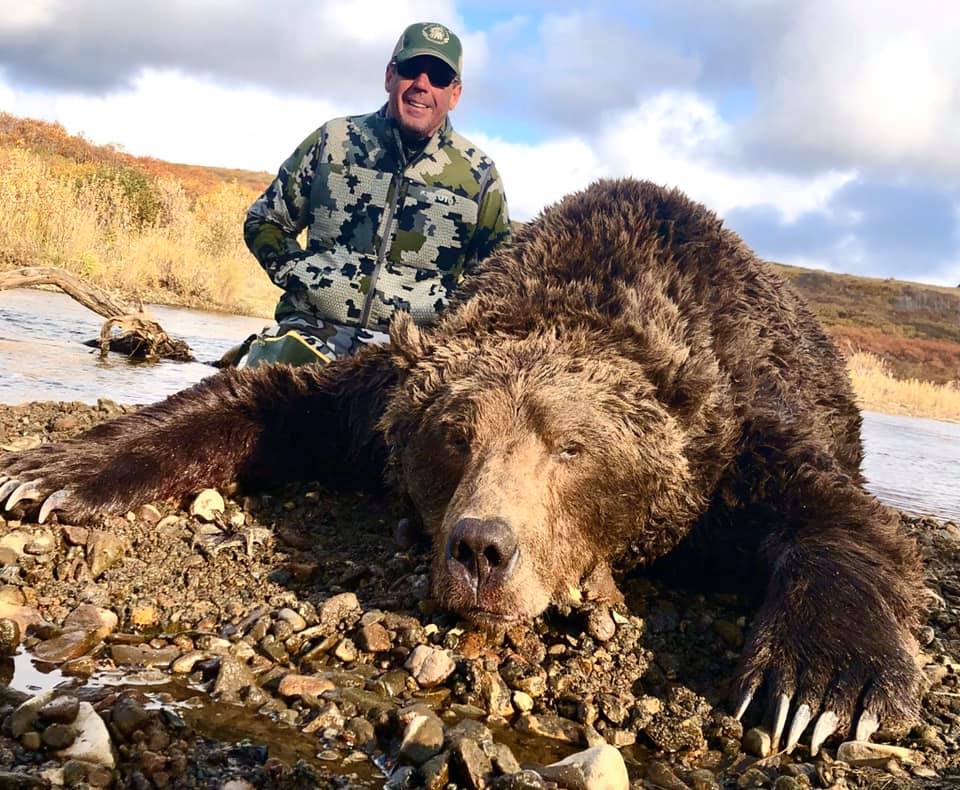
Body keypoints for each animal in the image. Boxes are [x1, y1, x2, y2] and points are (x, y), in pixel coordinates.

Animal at [3, 179, 928, 756]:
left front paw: (818, 687)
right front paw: (53, 471)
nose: (482, 548)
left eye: (571, 447)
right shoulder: (378, 397)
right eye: (455, 434)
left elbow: (844, 520)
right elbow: (270, 396)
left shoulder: (740, 438)